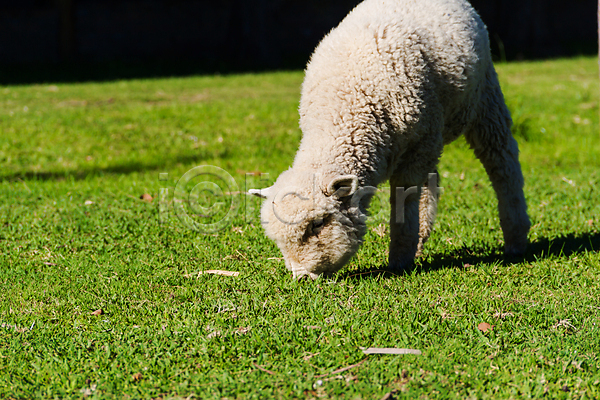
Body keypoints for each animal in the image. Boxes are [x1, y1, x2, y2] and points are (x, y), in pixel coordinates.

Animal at [248, 0, 528, 278]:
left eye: (317, 224)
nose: (302, 277)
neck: (345, 111)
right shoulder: (421, 144)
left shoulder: (419, 145)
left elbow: (405, 202)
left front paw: (399, 259)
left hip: (484, 97)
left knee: (502, 161)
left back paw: (516, 238)